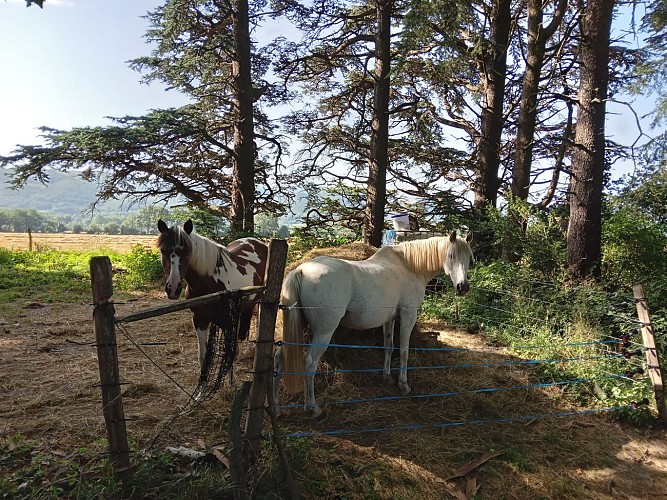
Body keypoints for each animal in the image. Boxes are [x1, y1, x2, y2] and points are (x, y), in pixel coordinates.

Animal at [157, 221, 268, 370]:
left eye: (187, 251)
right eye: (163, 251)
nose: (173, 288)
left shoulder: (227, 322)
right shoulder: (200, 320)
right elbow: (203, 357)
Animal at [276, 230, 474, 418]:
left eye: (469, 258)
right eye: (451, 256)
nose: (462, 287)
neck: (409, 266)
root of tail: (301, 271)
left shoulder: (390, 320)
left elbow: (389, 346)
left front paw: (387, 377)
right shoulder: (408, 316)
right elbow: (403, 351)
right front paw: (403, 385)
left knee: (279, 359)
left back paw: (277, 410)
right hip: (323, 332)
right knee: (310, 363)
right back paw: (313, 409)